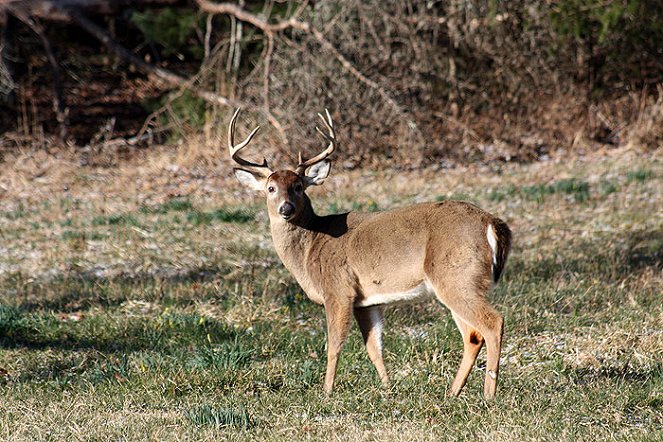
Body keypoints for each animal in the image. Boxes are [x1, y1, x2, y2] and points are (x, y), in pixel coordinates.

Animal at [228, 109, 512, 398]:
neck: (311, 247)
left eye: (298, 186)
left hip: (457, 276)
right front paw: (388, 388)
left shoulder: (338, 290)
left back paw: (488, 394)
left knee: (492, 323)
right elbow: (374, 347)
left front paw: (326, 392)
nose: (286, 209)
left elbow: (334, 345)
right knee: (472, 336)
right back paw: (452, 393)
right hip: (457, 281)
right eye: (271, 188)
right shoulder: (367, 301)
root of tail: (491, 223)